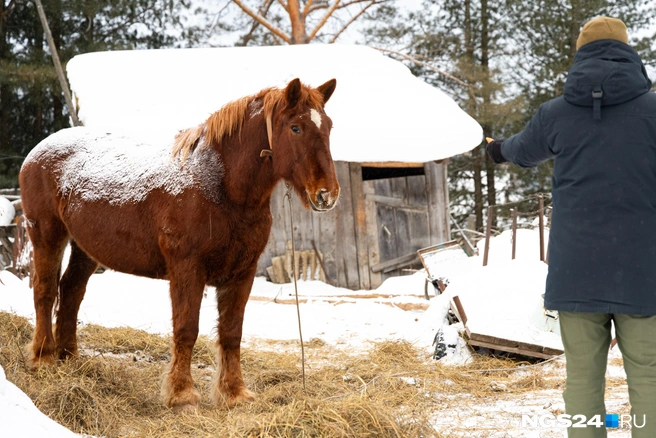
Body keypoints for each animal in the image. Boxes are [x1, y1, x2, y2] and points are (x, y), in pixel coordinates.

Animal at [18, 78, 340, 410]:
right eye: (295, 128)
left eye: (328, 126)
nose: (327, 194)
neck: (219, 187)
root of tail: (38, 151)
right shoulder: (187, 269)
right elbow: (187, 329)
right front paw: (182, 394)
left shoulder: (243, 273)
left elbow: (232, 332)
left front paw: (234, 393)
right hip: (47, 234)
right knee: (45, 290)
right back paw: (43, 357)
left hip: (85, 248)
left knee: (71, 291)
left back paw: (69, 357)